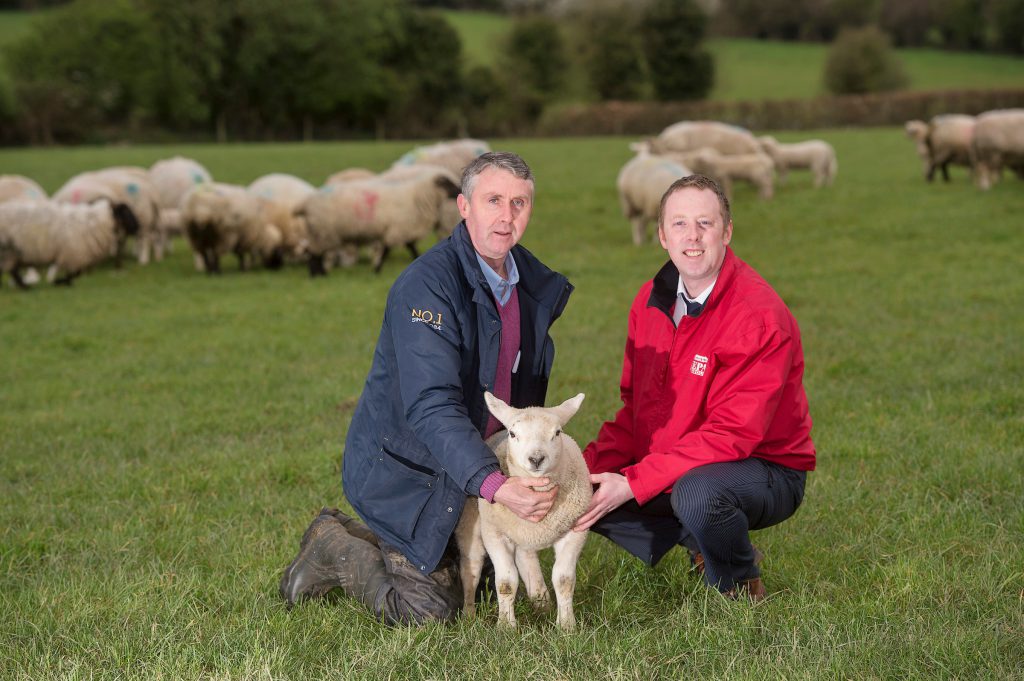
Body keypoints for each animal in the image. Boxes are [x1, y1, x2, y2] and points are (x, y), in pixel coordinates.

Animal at [0, 199, 129, 288]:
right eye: (125, 212)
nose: (133, 228)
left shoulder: (75, 256)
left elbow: (75, 273)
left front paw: (61, 282)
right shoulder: (74, 255)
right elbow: (74, 273)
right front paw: (60, 282)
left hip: (11, 254)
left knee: (13, 271)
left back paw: (24, 286)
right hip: (8, 251)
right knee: (12, 271)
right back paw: (25, 287)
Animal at [299, 167, 460, 276]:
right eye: (447, 183)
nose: (459, 191)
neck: (418, 197)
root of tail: (307, 203)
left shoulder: (401, 228)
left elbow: (409, 246)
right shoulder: (397, 228)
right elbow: (389, 249)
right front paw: (377, 269)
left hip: (320, 232)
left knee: (314, 251)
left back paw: (319, 273)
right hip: (323, 231)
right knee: (314, 252)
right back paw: (316, 274)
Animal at [456, 392, 590, 631]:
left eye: (557, 433)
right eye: (513, 433)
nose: (536, 459)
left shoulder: (576, 531)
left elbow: (564, 580)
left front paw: (566, 626)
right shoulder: (495, 534)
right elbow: (506, 582)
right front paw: (505, 627)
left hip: (521, 535)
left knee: (527, 559)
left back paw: (542, 604)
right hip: (470, 525)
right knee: (470, 569)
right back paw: (469, 616)